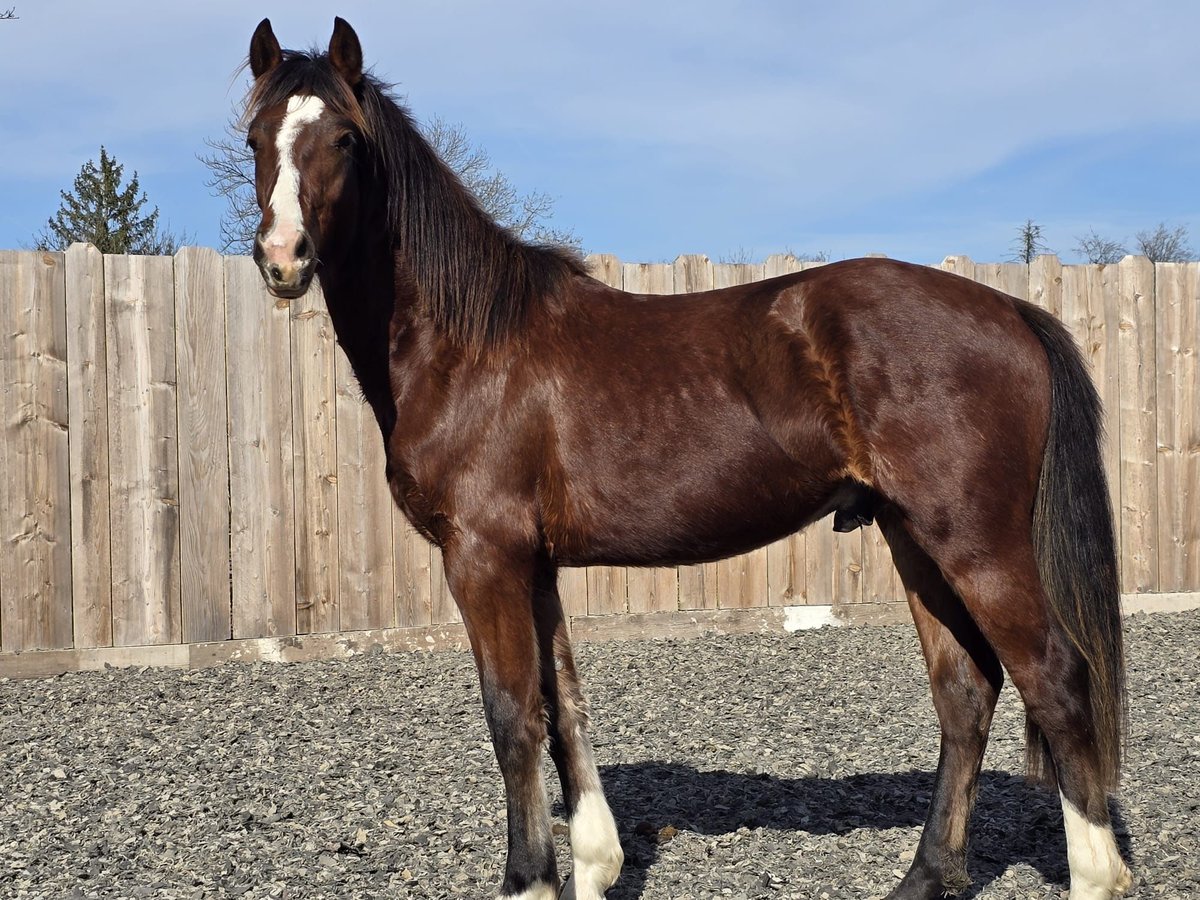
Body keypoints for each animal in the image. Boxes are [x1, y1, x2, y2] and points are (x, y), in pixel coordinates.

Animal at [246, 17, 1132, 897]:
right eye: (255, 136)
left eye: (345, 140)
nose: (283, 257)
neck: (470, 344)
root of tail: (1011, 310)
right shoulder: (536, 565)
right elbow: (563, 706)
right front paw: (596, 863)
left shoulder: (483, 556)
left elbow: (512, 715)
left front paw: (530, 876)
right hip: (914, 538)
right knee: (965, 691)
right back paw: (925, 875)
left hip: (977, 544)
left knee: (1055, 680)